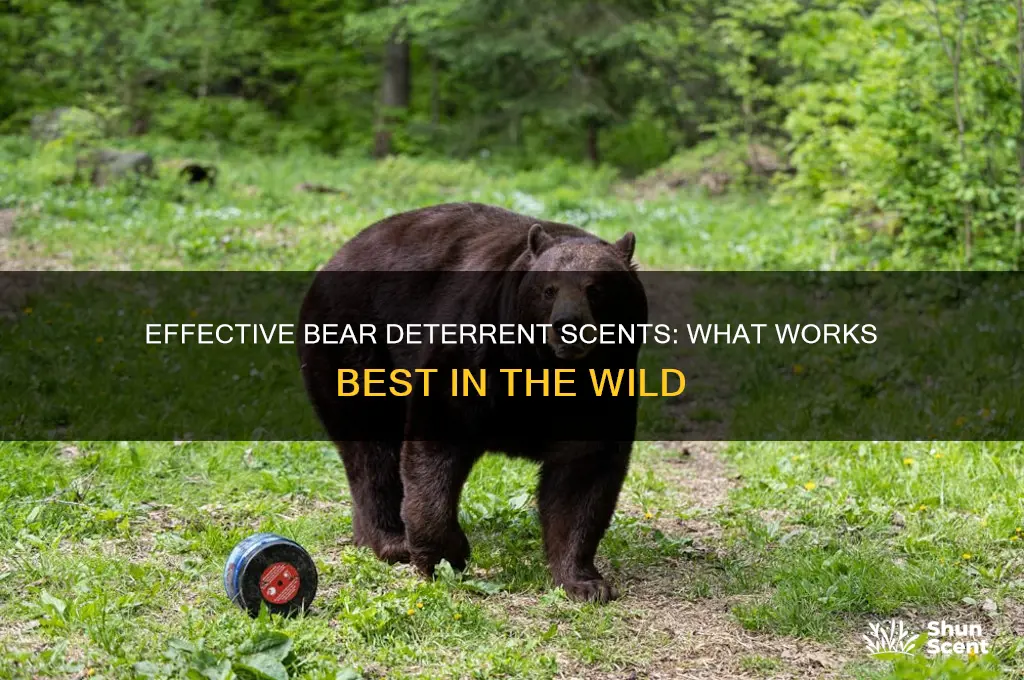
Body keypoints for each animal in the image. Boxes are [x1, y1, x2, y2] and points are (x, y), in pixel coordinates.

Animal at [297, 202, 647, 602]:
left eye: (596, 289)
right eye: (549, 289)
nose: (568, 325)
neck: (545, 371)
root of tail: (336, 255)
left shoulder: (602, 391)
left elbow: (583, 476)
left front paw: (584, 582)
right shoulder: (474, 352)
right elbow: (437, 443)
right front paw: (447, 552)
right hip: (355, 344)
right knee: (370, 448)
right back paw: (392, 540)